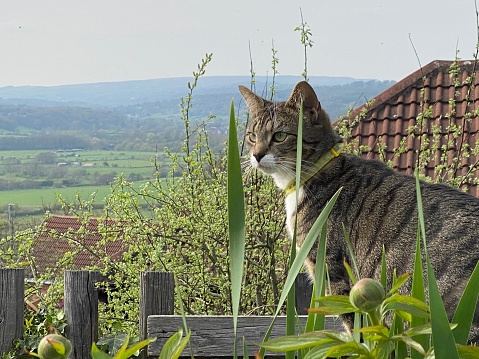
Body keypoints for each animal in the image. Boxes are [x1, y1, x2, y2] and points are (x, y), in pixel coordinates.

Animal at [240, 80, 479, 342]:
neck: (312, 175)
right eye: (252, 136)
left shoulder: (334, 272)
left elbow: (356, 326)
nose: (256, 155)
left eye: (280, 136)